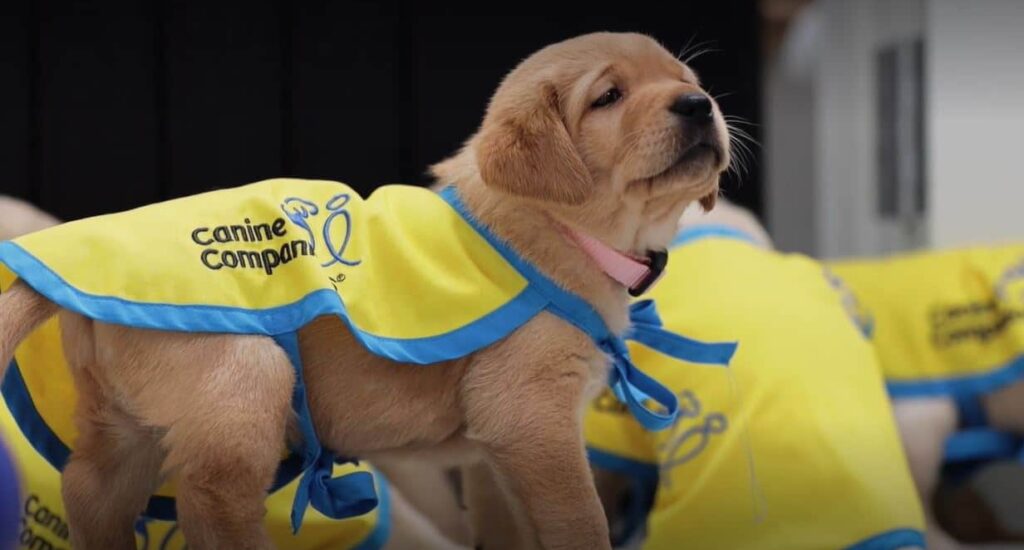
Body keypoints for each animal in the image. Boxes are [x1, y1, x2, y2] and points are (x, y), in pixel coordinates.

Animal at [0, 32, 729, 544]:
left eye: (686, 81)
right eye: (608, 97)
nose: (700, 104)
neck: (561, 228)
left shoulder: (495, 453)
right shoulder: (531, 418)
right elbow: (581, 522)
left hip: (123, 423)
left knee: (90, 489)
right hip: (245, 381)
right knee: (211, 503)